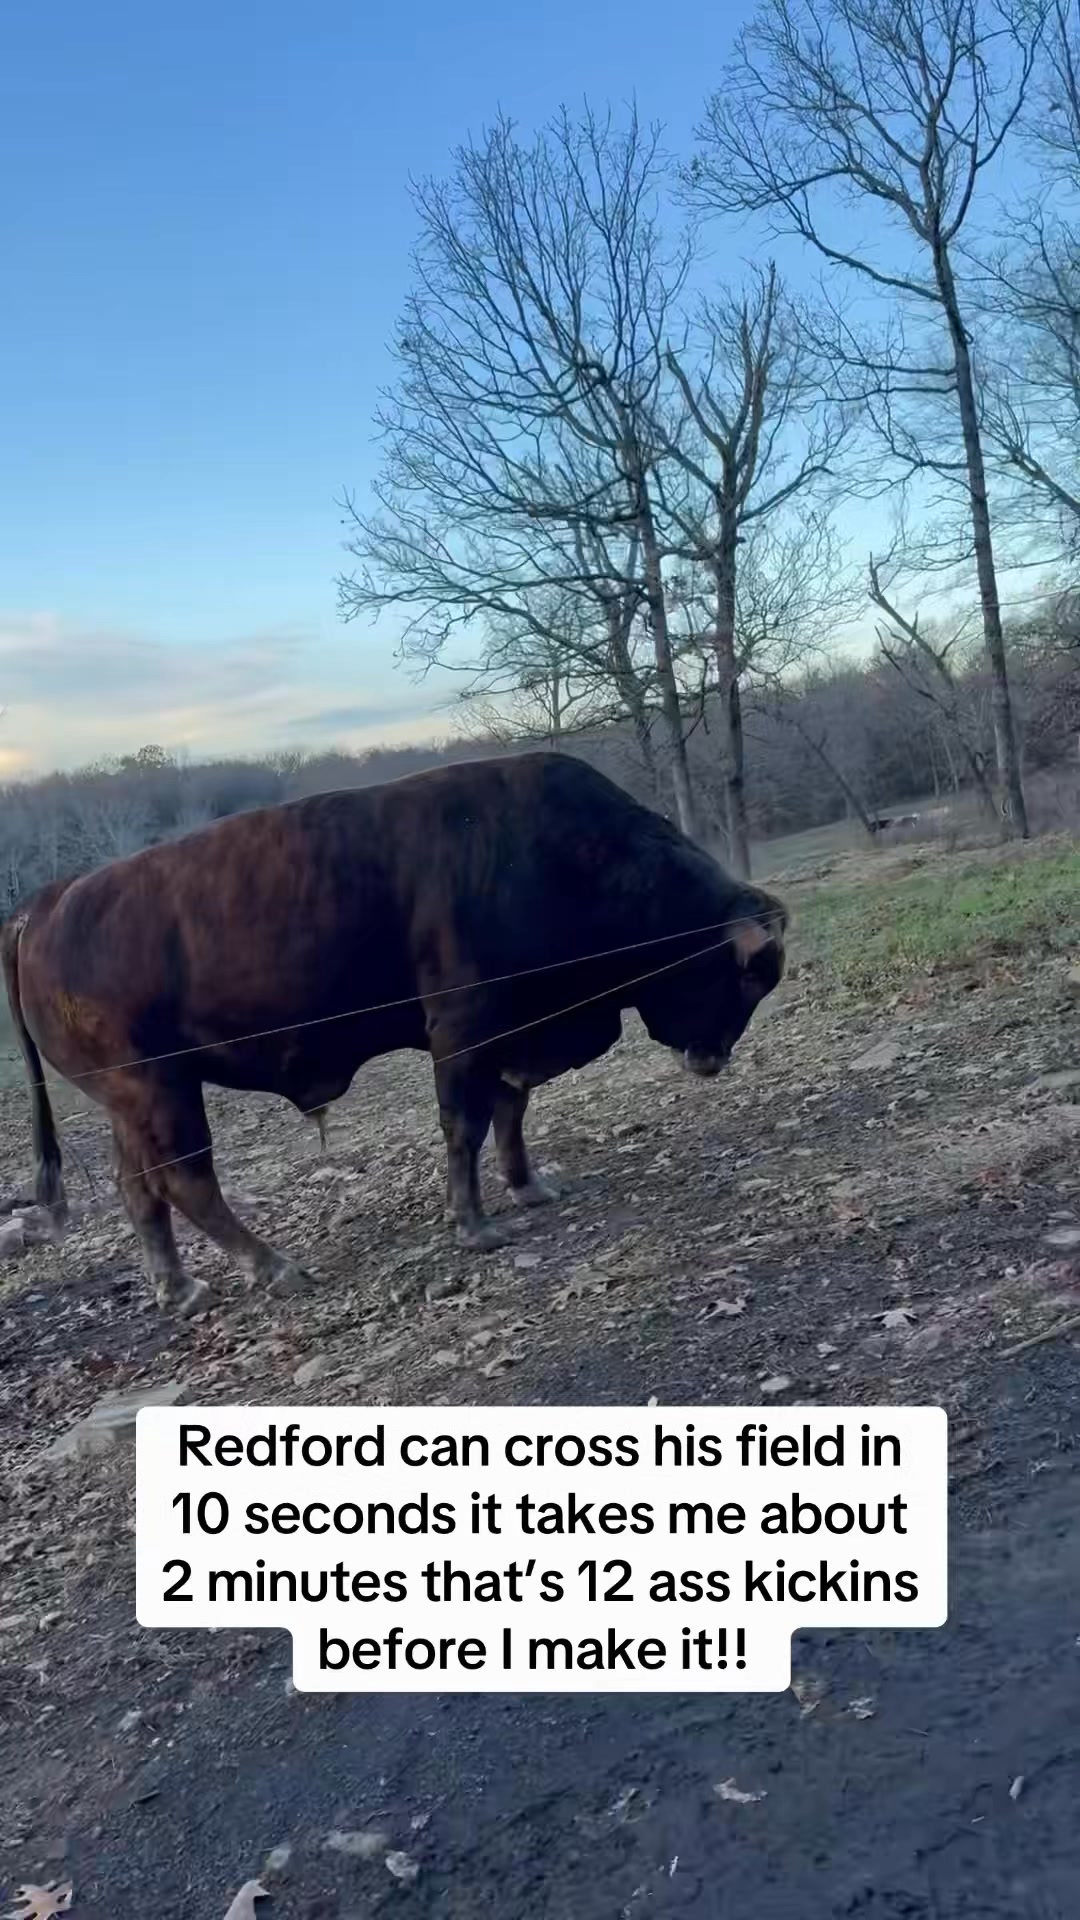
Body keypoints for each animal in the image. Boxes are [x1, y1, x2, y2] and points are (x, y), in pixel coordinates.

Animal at [1, 752, 787, 1318]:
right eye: (747, 977)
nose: (713, 1059)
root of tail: (45, 904)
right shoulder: (464, 1030)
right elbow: (465, 1125)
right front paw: (475, 1225)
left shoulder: (514, 1034)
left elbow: (511, 1112)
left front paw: (530, 1188)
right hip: (161, 1090)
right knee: (186, 1179)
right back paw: (275, 1267)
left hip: (132, 1104)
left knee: (140, 1190)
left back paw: (180, 1288)